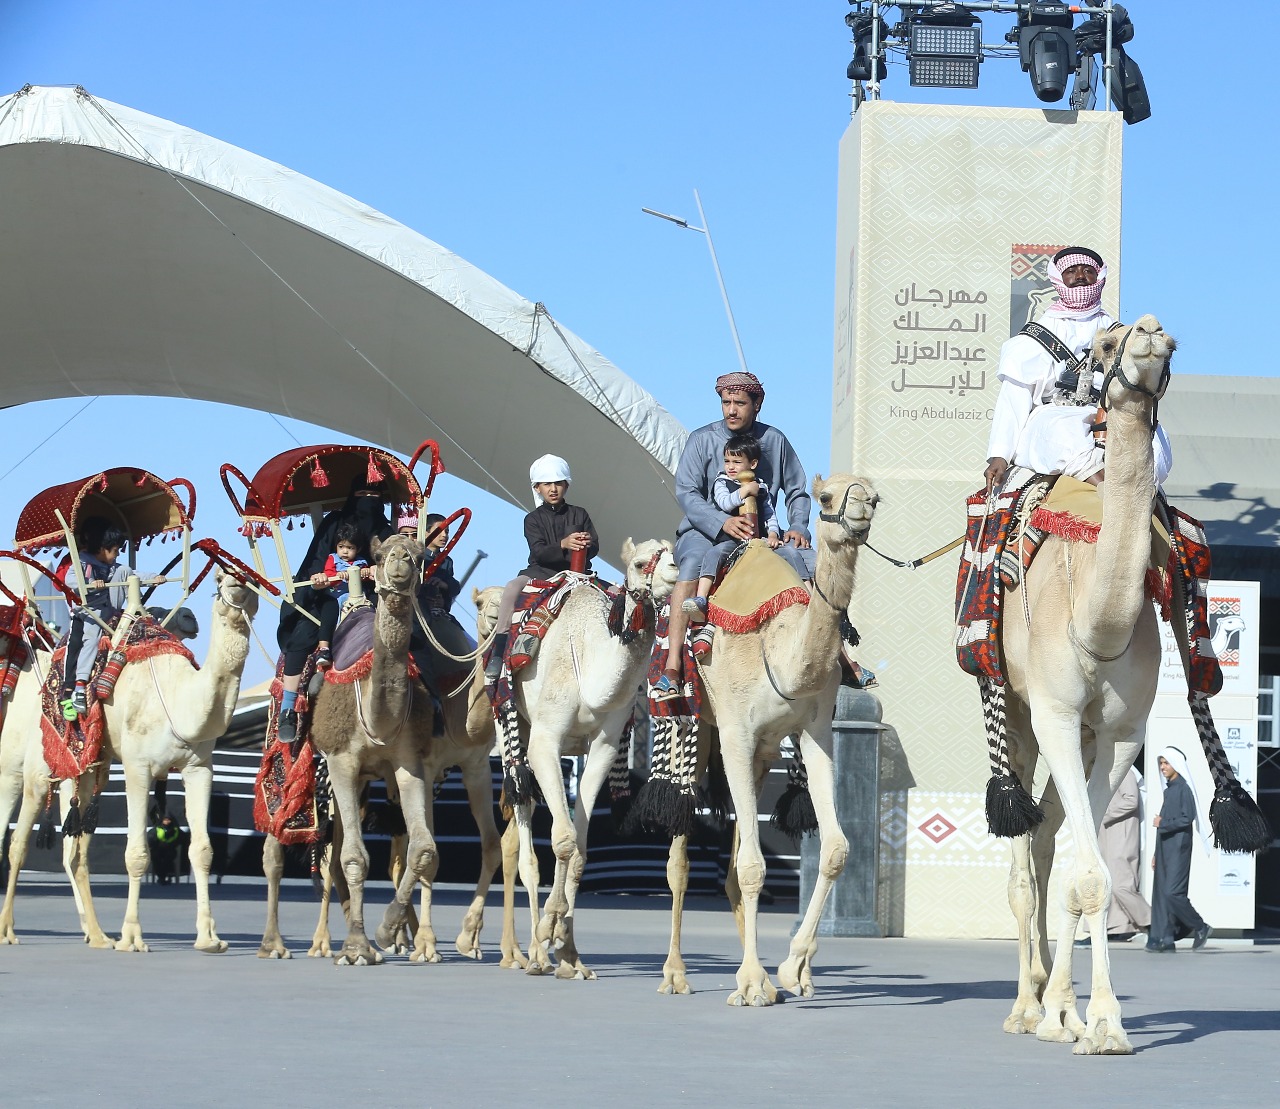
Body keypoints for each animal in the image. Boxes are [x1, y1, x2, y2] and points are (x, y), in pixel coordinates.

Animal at [481, 535, 680, 978]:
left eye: (675, 554)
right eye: (640, 563)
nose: (675, 573)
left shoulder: (604, 747)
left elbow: (581, 848)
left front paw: (570, 953)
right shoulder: (545, 740)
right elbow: (564, 840)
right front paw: (549, 929)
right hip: (511, 731)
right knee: (526, 836)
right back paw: (534, 954)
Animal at [660, 473, 880, 1003]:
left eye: (876, 495)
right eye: (827, 496)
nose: (863, 506)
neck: (779, 652)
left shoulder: (813, 731)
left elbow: (835, 849)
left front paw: (792, 970)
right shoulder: (736, 732)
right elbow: (755, 867)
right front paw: (754, 982)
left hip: (758, 755)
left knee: (733, 870)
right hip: (696, 727)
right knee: (681, 859)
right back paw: (675, 974)